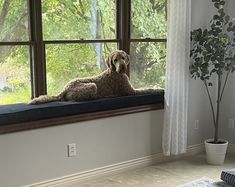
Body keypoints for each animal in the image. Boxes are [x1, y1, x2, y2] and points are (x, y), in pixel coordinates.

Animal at [29, 50, 162, 104]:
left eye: (123, 58)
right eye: (115, 60)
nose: (122, 67)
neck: (114, 71)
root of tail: (64, 89)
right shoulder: (131, 91)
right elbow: (147, 89)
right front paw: (159, 89)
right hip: (92, 86)